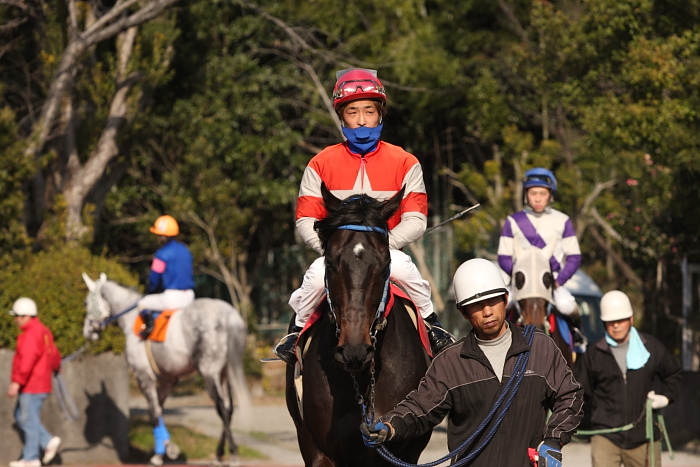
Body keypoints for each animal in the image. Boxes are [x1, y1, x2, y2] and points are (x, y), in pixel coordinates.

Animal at [82, 272, 252, 466]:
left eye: (86, 303)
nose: (87, 332)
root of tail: (229, 314)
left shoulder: (144, 377)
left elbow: (154, 413)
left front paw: (166, 449)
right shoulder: (168, 381)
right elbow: (158, 411)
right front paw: (159, 453)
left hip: (209, 372)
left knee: (222, 408)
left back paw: (233, 454)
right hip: (224, 374)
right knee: (229, 409)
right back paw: (219, 454)